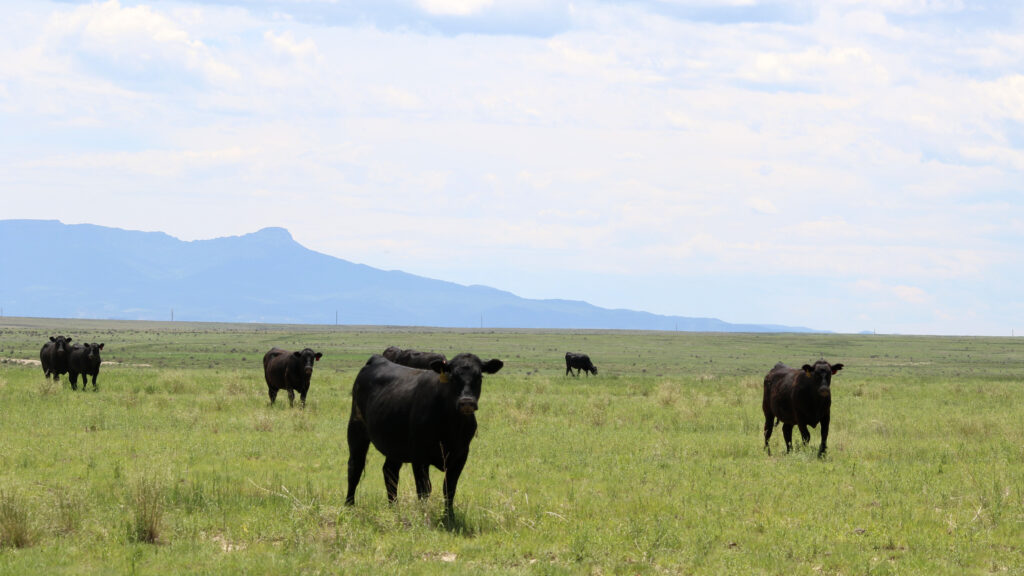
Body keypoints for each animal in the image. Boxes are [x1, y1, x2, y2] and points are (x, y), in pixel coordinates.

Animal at [345, 352, 503, 519]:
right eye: (452, 376)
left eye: (479, 376)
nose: (466, 402)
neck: (452, 425)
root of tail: (377, 359)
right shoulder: (419, 457)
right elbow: (424, 490)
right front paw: (424, 515)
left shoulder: (460, 455)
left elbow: (449, 488)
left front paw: (449, 516)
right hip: (356, 429)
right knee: (355, 467)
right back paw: (349, 506)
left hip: (394, 444)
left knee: (390, 472)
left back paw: (393, 508)